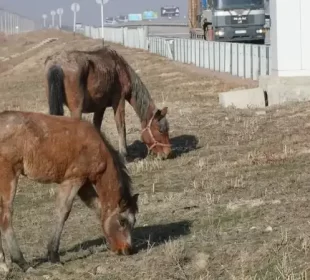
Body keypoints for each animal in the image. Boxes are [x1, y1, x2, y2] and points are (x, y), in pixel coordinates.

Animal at [0, 110, 138, 272]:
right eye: (122, 221)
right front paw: (53, 255)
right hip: (8, 176)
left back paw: (3, 264)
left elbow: (97, 207)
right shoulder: (73, 180)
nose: (127, 250)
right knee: (6, 216)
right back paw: (22, 262)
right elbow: (63, 212)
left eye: (134, 221)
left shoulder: (84, 184)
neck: (96, 147)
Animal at [43, 45, 172, 160]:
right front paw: (123, 154)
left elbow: (97, 126)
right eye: (161, 130)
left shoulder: (100, 107)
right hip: (76, 110)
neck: (121, 68)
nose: (167, 153)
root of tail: (57, 64)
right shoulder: (119, 101)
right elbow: (121, 126)